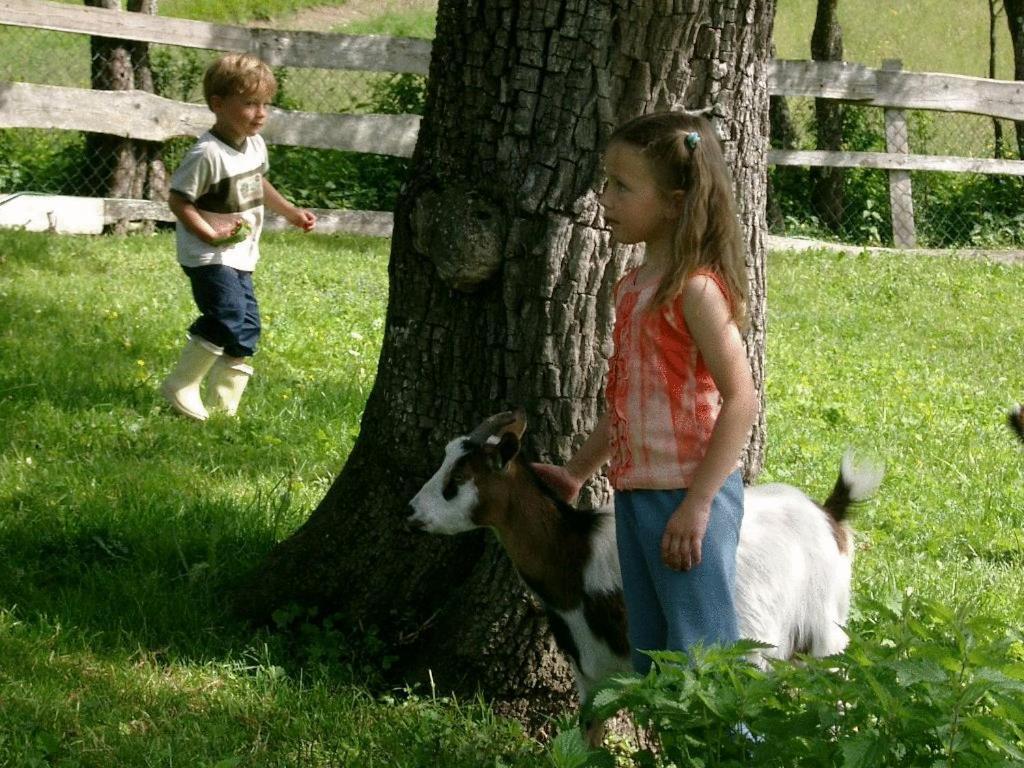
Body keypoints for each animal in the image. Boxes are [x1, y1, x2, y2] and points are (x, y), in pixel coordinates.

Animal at [407, 411, 880, 737]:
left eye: (457, 480)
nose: (412, 513)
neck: (574, 557)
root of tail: (830, 514)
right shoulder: (593, 678)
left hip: (826, 633)